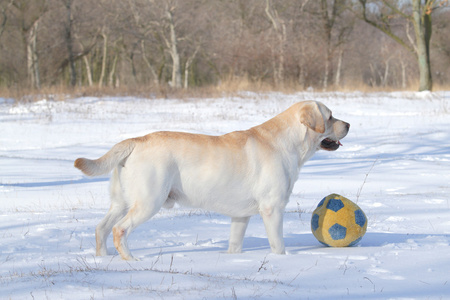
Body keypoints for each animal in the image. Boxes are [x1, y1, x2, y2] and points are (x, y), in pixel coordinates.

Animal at [74, 101, 348, 260]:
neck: (288, 142)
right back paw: (131, 260)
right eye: (331, 116)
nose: (348, 124)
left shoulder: (241, 216)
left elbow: (235, 244)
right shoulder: (272, 208)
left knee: (101, 228)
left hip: (120, 201)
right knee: (119, 229)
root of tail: (136, 140)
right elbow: (277, 244)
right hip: (148, 201)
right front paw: (282, 261)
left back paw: (102, 258)